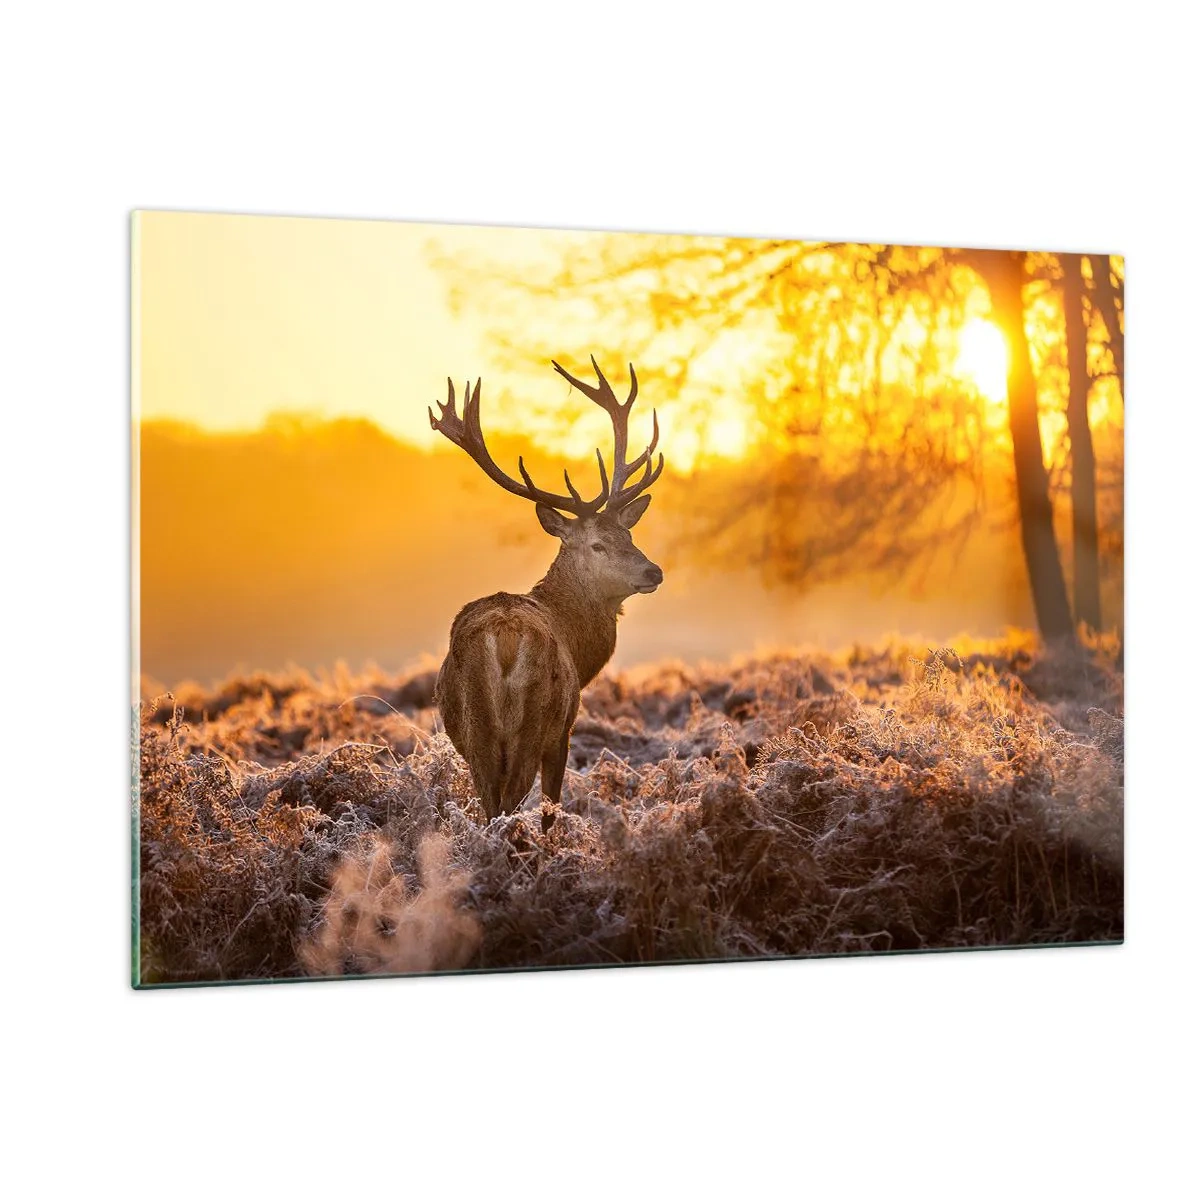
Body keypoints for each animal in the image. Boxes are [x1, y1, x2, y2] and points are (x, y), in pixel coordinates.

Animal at [429, 356, 665, 823]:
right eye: (598, 544)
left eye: (628, 535)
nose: (654, 572)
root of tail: (504, 638)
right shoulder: (564, 730)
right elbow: (552, 805)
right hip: (534, 722)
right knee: (511, 803)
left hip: (476, 731)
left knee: (490, 805)